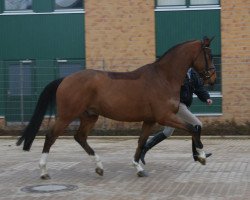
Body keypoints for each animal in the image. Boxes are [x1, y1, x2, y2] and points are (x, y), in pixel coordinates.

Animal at [16, 37, 215, 178]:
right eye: (210, 55)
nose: (212, 78)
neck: (163, 77)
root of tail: (65, 79)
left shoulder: (150, 120)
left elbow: (141, 142)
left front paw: (138, 167)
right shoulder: (164, 116)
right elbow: (194, 128)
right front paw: (201, 156)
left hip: (90, 116)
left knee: (80, 137)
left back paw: (99, 167)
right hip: (67, 115)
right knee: (51, 136)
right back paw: (44, 171)